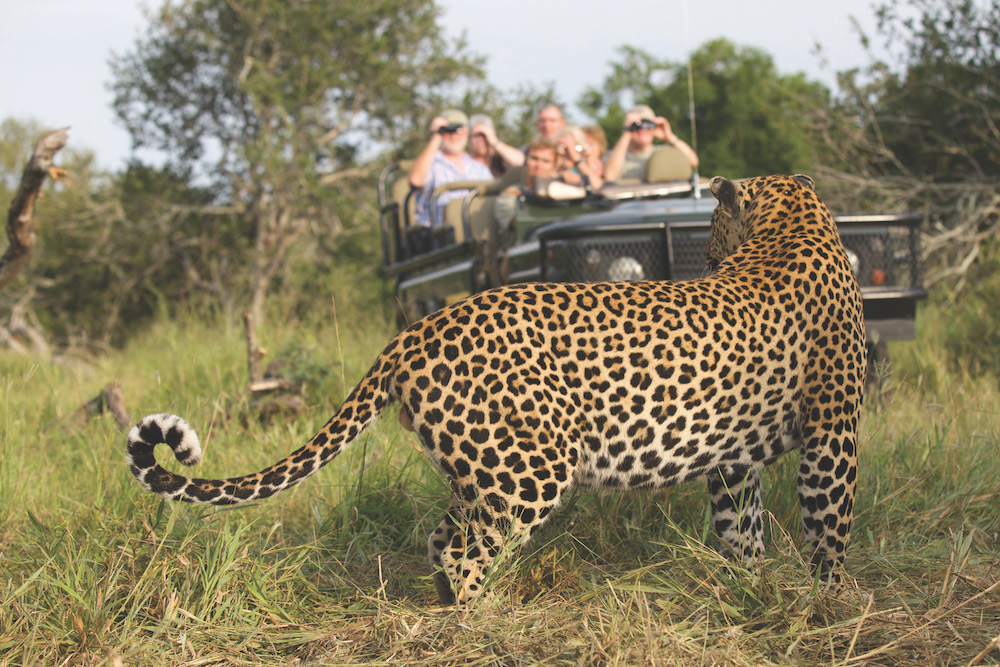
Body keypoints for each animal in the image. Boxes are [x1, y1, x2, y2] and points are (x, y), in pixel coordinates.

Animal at [125, 172, 864, 604]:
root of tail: (414, 331)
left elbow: (744, 530)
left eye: (710, 221)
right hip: (530, 468)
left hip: (481, 464)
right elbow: (829, 523)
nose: (705, 255)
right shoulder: (835, 430)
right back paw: (483, 619)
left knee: (442, 538)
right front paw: (834, 600)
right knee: (463, 549)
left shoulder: (734, 458)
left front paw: (753, 589)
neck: (796, 222)